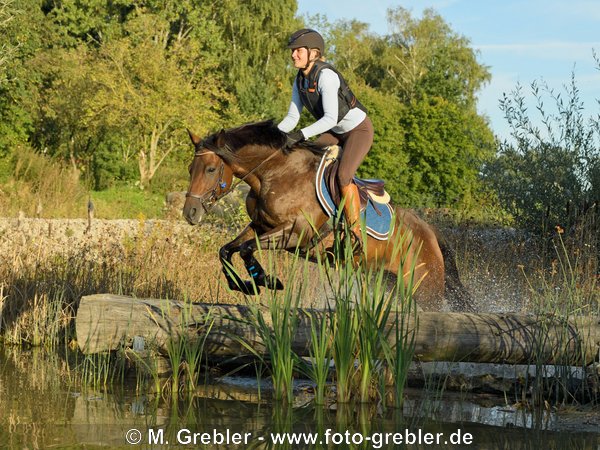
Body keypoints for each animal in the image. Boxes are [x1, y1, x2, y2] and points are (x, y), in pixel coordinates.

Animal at [183, 119, 474, 312]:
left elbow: (245, 249)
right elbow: (227, 250)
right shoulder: (260, 226)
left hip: (425, 290)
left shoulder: (294, 234)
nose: (190, 212)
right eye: (190, 168)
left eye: (210, 169)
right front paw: (244, 285)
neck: (275, 173)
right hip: (389, 281)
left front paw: (266, 280)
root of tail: (430, 232)